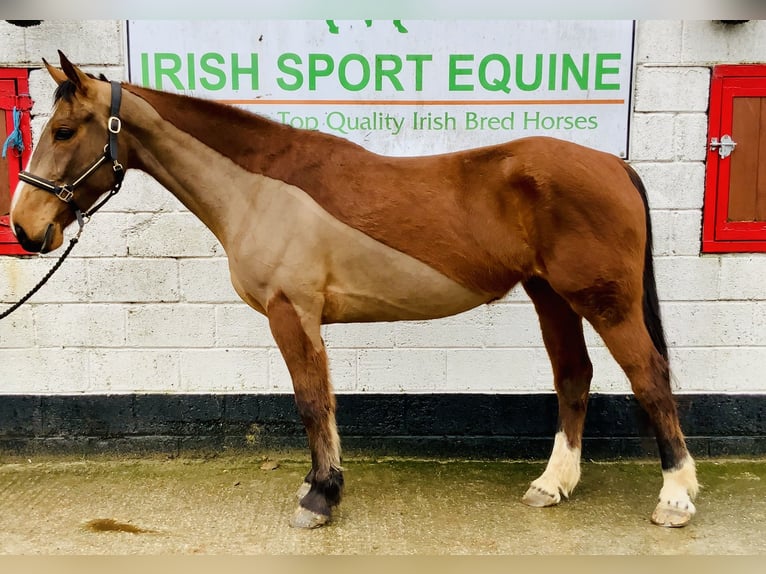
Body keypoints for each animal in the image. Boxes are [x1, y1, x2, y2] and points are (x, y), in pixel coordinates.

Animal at [10, 51, 698, 529]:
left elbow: (313, 403)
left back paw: (674, 496)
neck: (257, 187)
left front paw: (320, 497)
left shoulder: (291, 313)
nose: (24, 227)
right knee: (574, 376)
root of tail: (613, 164)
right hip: (550, 295)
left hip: (604, 302)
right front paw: (318, 486)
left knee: (648, 376)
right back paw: (553, 485)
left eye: (65, 131)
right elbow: (321, 404)